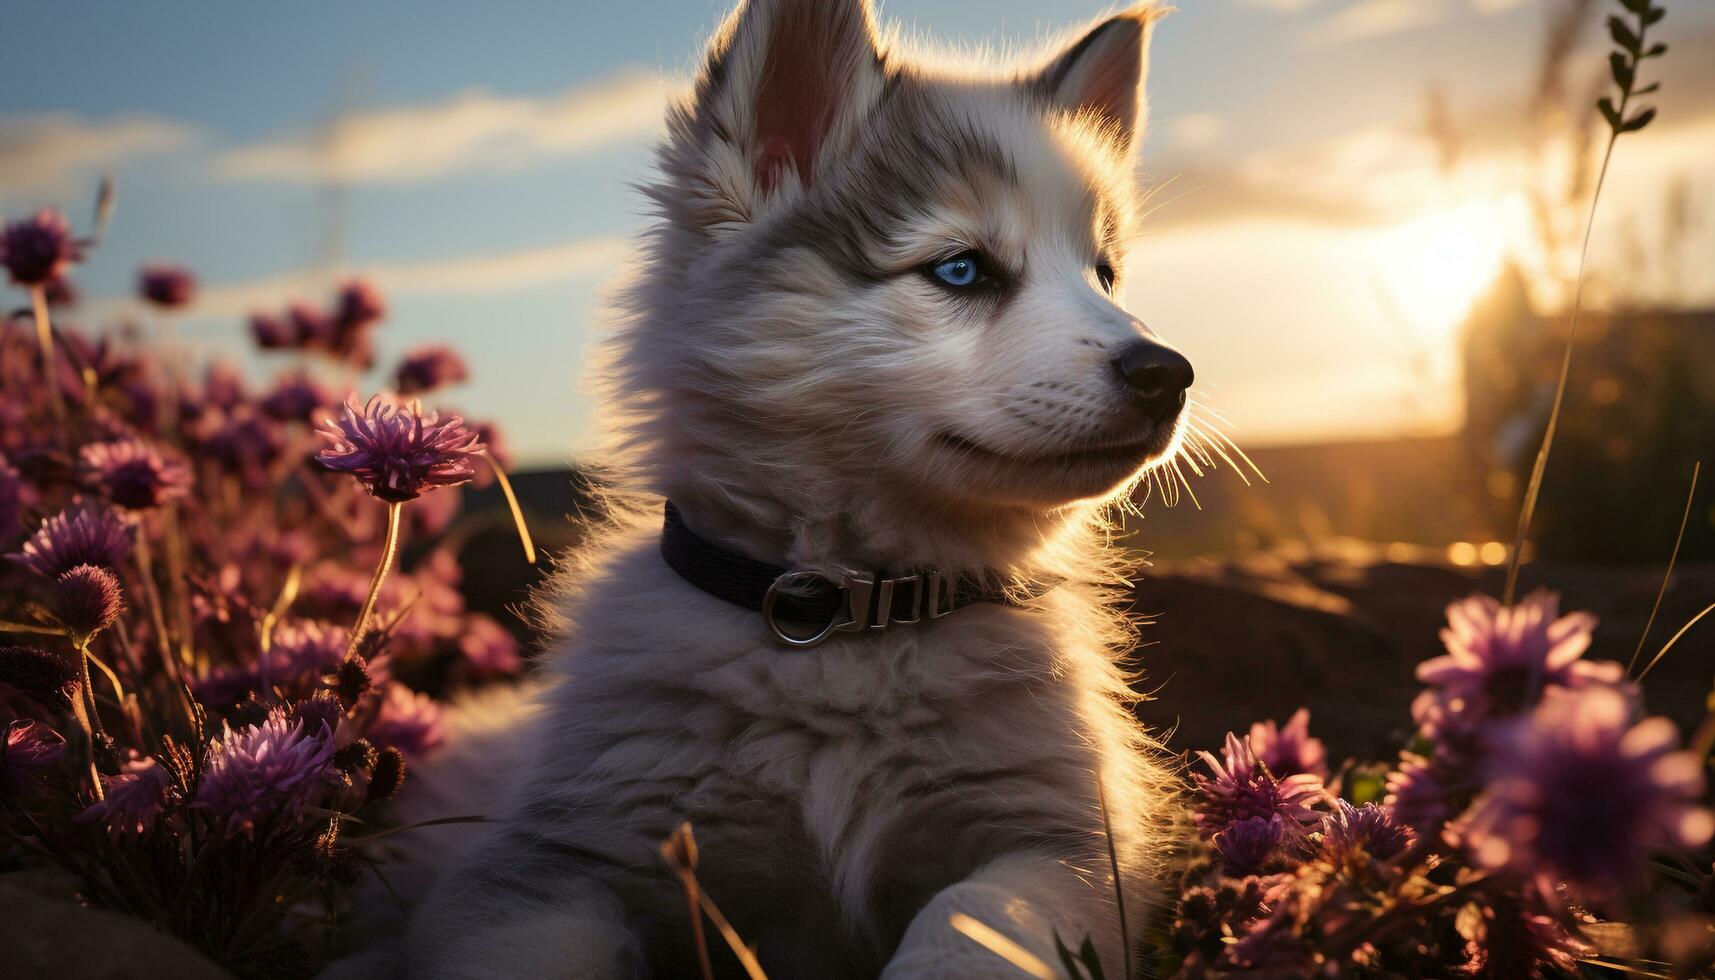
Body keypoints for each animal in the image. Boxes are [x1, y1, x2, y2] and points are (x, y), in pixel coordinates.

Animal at [408, 0, 1200, 974]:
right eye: (961, 269)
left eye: (1105, 274)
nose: (1168, 374)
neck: (851, 622)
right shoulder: (553, 859)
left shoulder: (1066, 847)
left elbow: (972, 915)